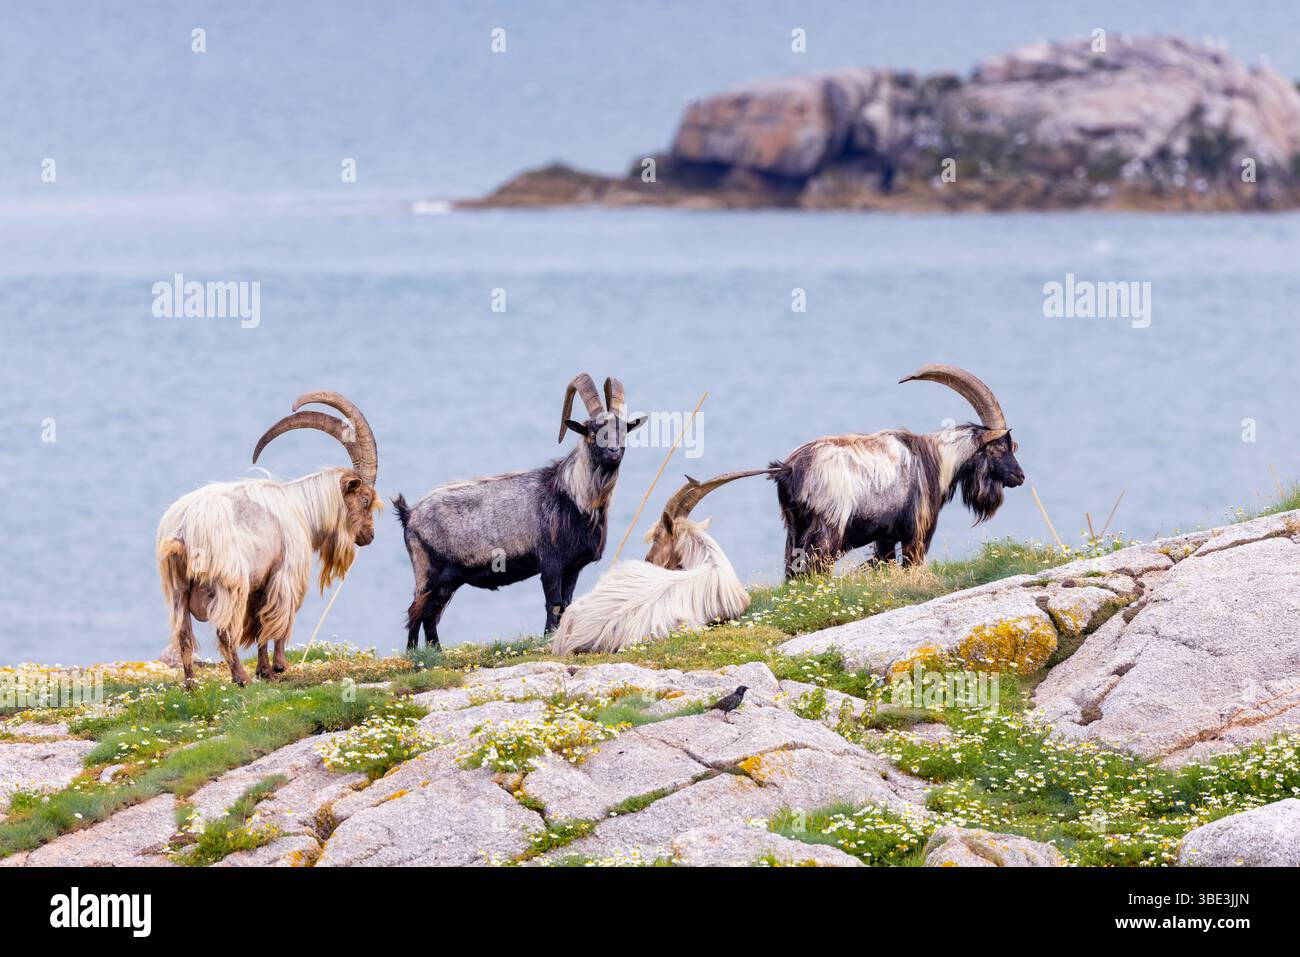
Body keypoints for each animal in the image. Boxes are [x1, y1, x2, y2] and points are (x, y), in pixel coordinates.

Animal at [156, 392, 380, 686]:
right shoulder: (284, 574)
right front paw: (278, 667)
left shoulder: (259, 584)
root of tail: (183, 529)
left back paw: (192, 686)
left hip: (178, 588)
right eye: (365, 499)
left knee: (183, 634)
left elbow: (259, 624)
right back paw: (241, 678)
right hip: (228, 582)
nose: (369, 536)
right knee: (225, 631)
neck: (301, 508)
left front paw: (265, 670)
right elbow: (277, 620)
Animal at [394, 373, 645, 648]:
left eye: (623, 430)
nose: (614, 452)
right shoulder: (551, 562)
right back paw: (413, 654)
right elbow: (554, 604)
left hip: (447, 580)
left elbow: (566, 604)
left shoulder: (573, 567)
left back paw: (436, 652)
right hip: (428, 572)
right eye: (592, 431)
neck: (573, 496)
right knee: (415, 612)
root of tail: (409, 514)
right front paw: (548, 640)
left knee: (429, 616)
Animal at [770, 365, 1024, 576]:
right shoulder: (918, 529)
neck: (936, 459)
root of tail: (789, 469)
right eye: (1001, 447)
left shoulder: (886, 537)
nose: (1020, 476)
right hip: (827, 529)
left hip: (794, 529)